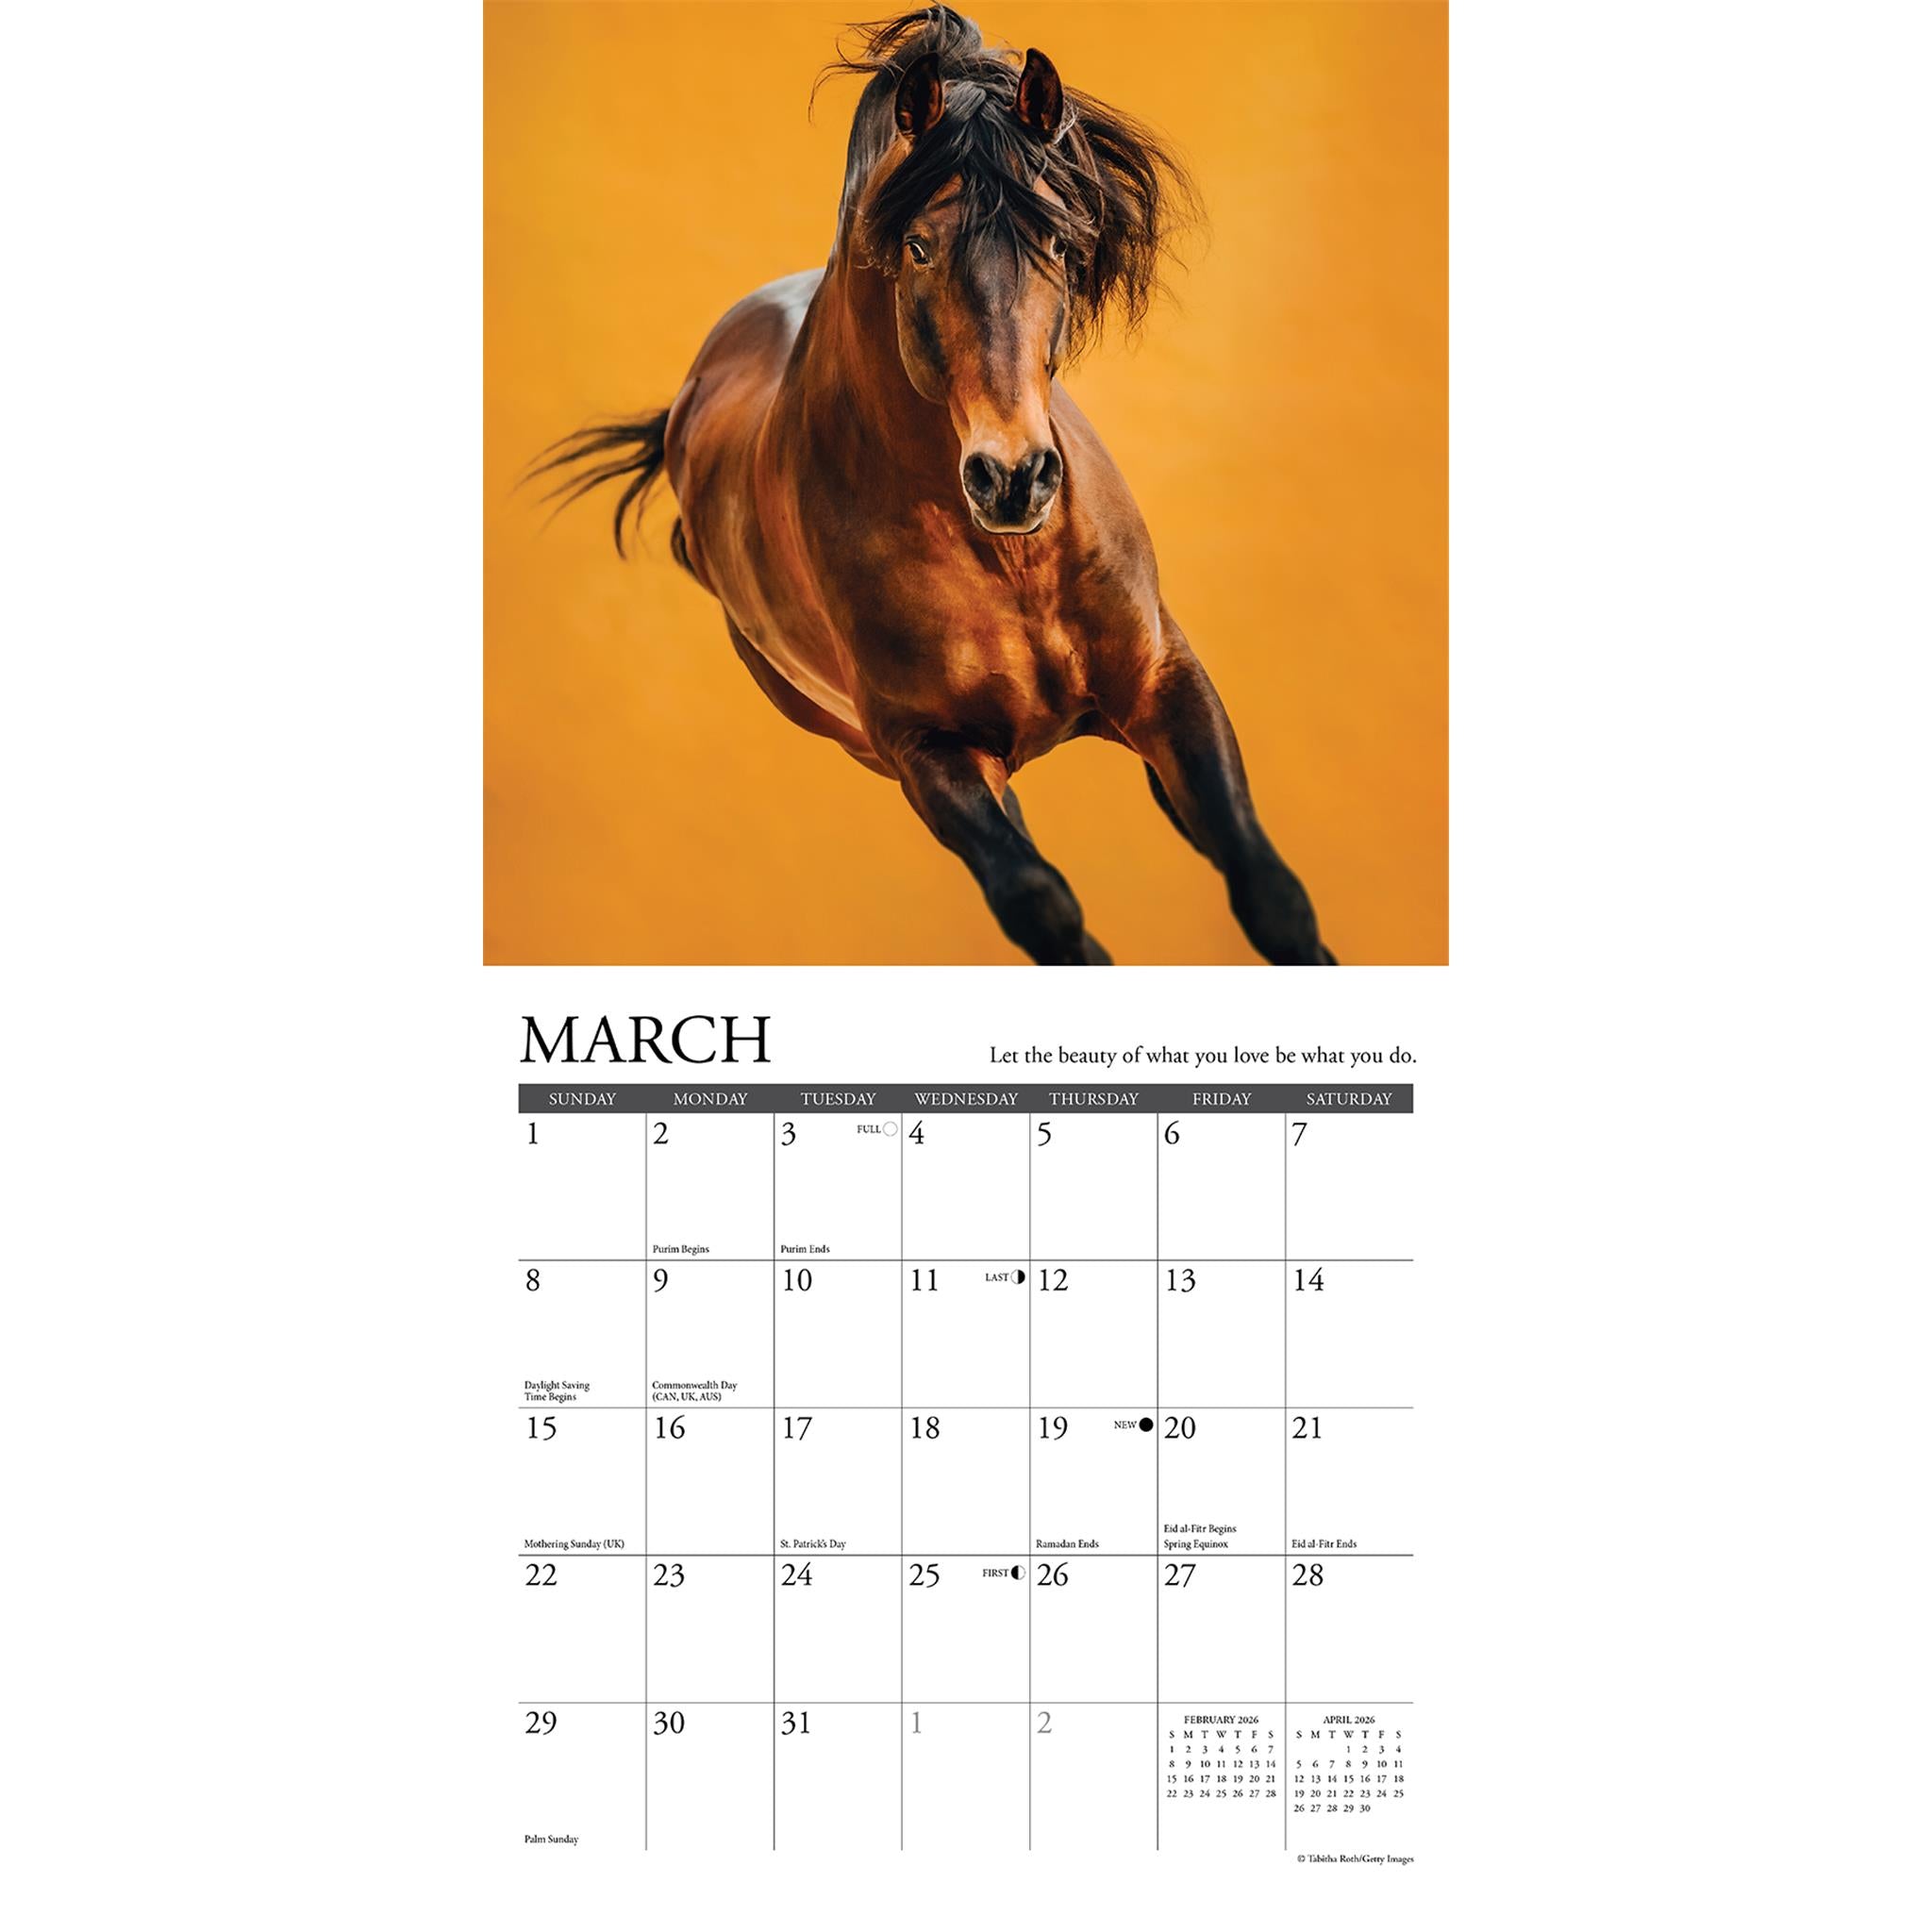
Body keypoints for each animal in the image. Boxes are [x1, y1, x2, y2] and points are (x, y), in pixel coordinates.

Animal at [533, 6, 1333, 964]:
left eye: (1057, 240)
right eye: (918, 245)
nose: (1014, 478)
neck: (1010, 565)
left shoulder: (1165, 683)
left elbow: (1270, 891)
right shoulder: (928, 750)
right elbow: (1042, 904)